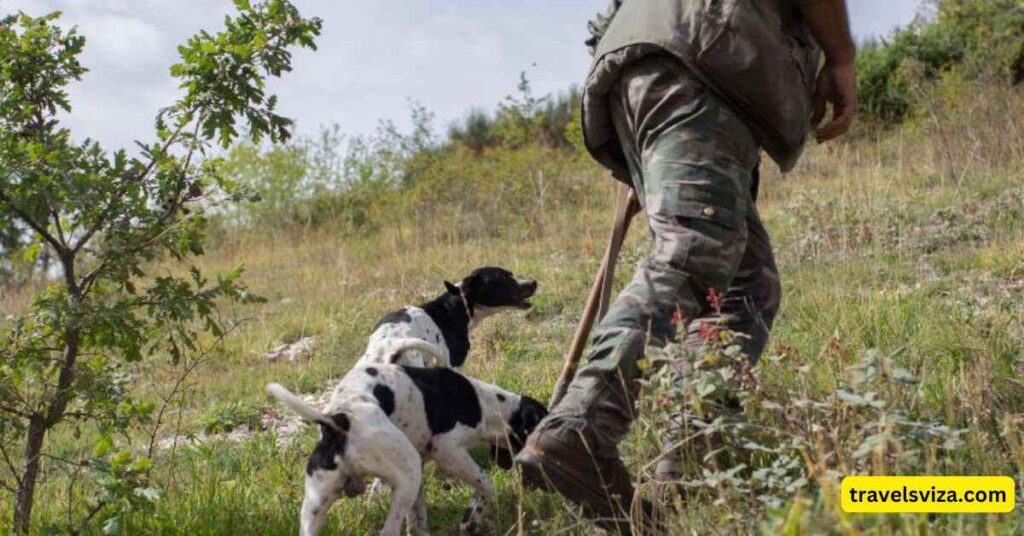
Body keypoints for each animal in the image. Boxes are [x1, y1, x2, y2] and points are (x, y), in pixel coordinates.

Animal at [268, 346, 548, 532]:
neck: (487, 404)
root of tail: (339, 421)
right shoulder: (448, 452)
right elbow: (486, 486)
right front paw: (471, 519)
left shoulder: (423, 472)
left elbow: (418, 518)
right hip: (407, 477)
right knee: (388, 530)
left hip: (316, 505)